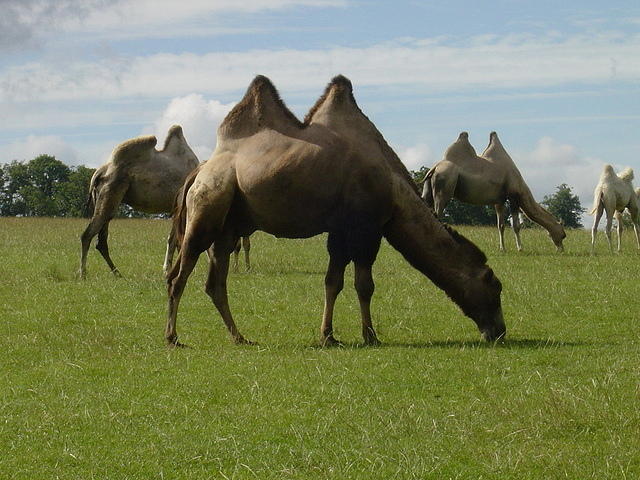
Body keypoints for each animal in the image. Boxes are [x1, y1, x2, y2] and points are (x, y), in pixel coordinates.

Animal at [80, 125, 200, 280]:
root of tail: (100, 172)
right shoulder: (181, 208)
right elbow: (176, 239)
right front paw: (170, 271)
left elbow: (176, 239)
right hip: (110, 193)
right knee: (88, 235)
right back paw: (83, 274)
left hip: (103, 198)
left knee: (101, 241)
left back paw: (117, 273)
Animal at [165, 74, 504, 344]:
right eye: (495, 287)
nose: (499, 332)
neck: (394, 191)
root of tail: (200, 170)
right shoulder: (365, 228)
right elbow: (362, 285)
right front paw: (368, 336)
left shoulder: (344, 231)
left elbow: (336, 282)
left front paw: (330, 335)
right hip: (207, 208)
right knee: (177, 274)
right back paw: (173, 337)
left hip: (227, 228)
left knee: (215, 283)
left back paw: (240, 337)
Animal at [424, 130, 564, 251]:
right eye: (563, 235)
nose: (561, 249)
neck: (522, 188)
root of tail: (434, 168)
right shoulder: (513, 197)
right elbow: (516, 226)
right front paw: (520, 248)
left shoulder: (499, 201)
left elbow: (500, 225)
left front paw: (503, 249)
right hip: (445, 188)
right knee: (438, 214)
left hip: (429, 190)